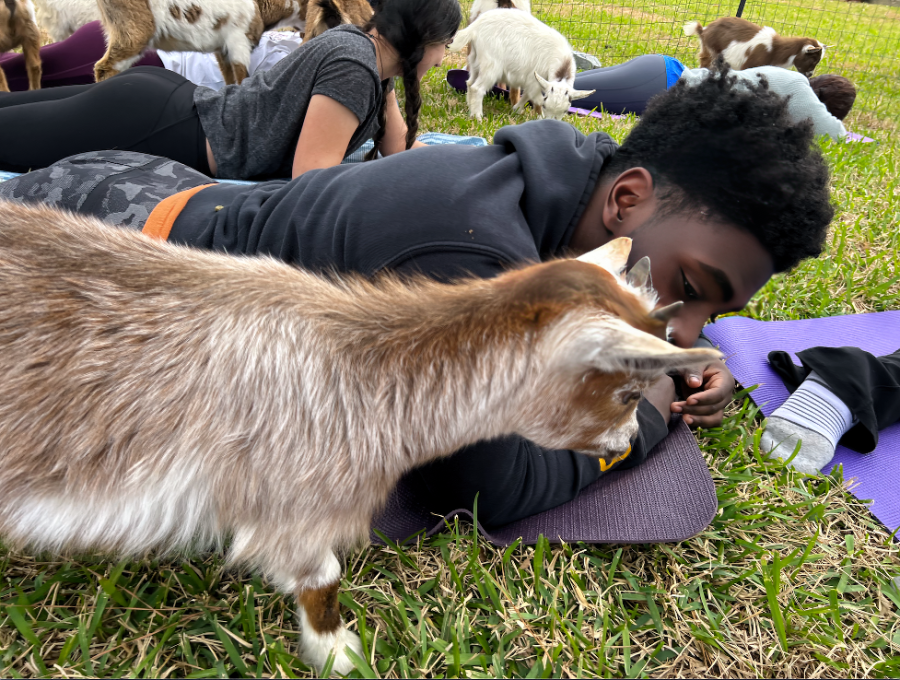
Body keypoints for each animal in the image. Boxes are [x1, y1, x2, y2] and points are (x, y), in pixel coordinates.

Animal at [0, 199, 720, 672]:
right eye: (627, 391)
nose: (623, 443)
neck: (362, 363)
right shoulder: (295, 497)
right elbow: (321, 578)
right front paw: (340, 653)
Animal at [94, 0, 264, 84]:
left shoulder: (223, 48)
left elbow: (229, 76)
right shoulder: (238, 40)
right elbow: (241, 76)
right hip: (134, 28)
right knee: (105, 67)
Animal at [454, 8, 596, 119]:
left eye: (566, 110)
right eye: (545, 105)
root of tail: (474, 27)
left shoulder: (535, 81)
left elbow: (526, 95)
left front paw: (516, 109)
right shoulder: (535, 79)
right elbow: (535, 98)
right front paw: (538, 116)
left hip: (475, 60)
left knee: (469, 83)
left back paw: (470, 109)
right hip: (491, 65)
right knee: (477, 88)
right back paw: (478, 116)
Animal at [684, 17, 828, 77]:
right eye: (813, 59)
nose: (810, 75)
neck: (775, 50)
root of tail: (704, 30)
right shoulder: (750, 64)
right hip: (710, 50)